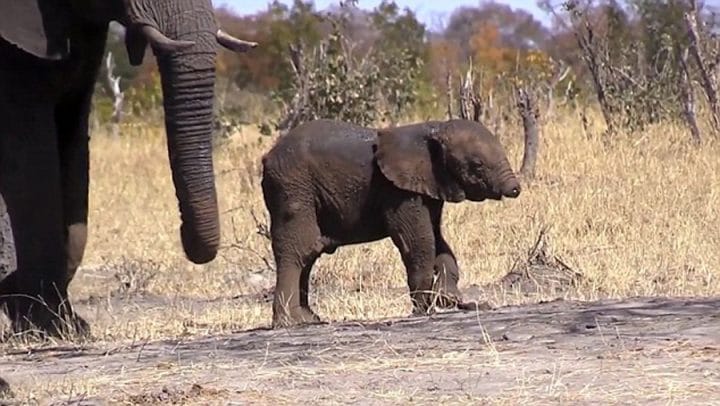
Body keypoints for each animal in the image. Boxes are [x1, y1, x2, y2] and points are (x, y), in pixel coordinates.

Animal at [262, 119, 520, 328]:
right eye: (477, 165)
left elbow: (438, 240)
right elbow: (418, 241)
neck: (433, 128)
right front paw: (424, 309)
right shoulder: (398, 191)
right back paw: (290, 323)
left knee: (309, 254)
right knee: (300, 249)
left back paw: (309, 320)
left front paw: (447, 299)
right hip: (293, 188)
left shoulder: (429, 185)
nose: (515, 189)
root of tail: (267, 158)